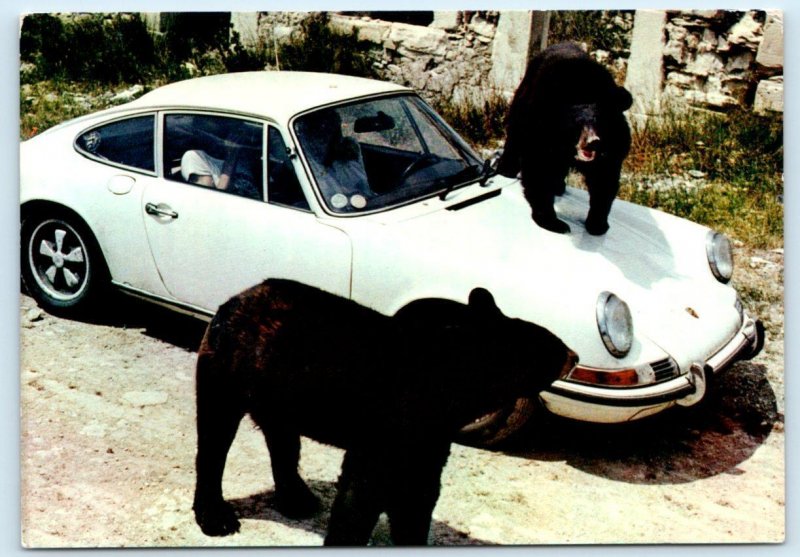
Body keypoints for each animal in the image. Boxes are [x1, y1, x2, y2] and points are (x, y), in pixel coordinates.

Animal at [192, 278, 576, 544]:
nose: (574, 355)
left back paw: (298, 499)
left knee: (282, 439)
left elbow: (418, 492)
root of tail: (234, 300)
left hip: (279, 391)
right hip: (226, 370)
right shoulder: (388, 420)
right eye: (553, 346)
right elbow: (363, 491)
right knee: (215, 437)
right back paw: (216, 518)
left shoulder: (429, 434)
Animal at [496, 41, 636, 235]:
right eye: (577, 125)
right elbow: (538, 168)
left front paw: (597, 224)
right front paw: (553, 222)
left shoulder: (613, 148)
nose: (593, 143)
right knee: (515, 133)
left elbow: (604, 179)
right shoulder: (540, 128)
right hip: (523, 99)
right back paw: (506, 169)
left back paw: (558, 185)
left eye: (600, 122)